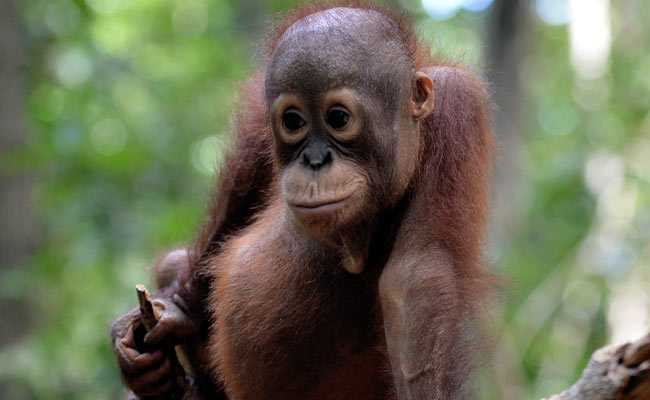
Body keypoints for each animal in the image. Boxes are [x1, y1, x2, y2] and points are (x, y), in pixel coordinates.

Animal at [110, 2, 496, 399]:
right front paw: (173, 316)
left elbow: (415, 278)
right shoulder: (257, 113)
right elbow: (233, 211)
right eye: (293, 122)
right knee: (175, 260)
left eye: (338, 118)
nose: (314, 160)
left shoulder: (455, 104)